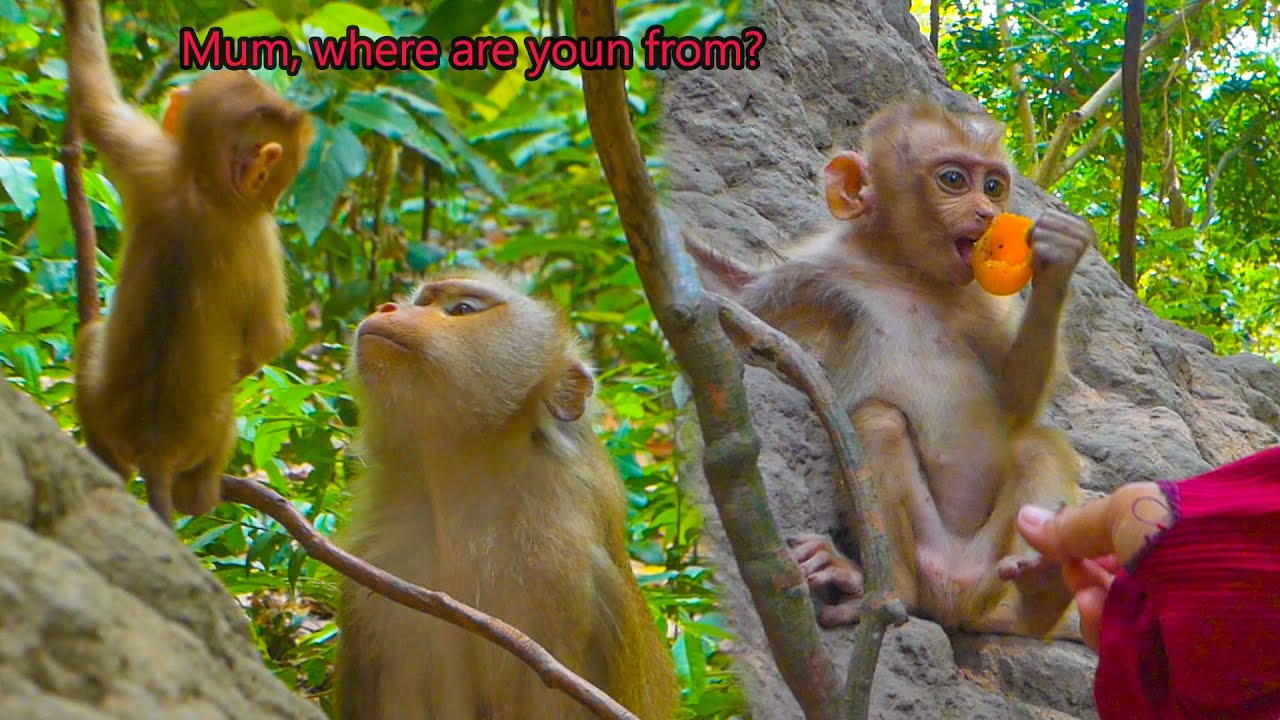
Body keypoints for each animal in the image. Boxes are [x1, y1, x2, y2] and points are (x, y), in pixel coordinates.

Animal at [64, 0, 313, 524]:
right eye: (280, 177)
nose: (274, 199)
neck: (204, 185)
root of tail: (153, 448)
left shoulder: (149, 155)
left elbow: (96, 99)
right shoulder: (262, 236)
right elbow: (268, 339)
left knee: (91, 337)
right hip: (213, 430)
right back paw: (197, 494)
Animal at [696, 97, 1091, 638]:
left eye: (993, 185)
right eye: (953, 180)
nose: (988, 213)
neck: (909, 272)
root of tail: (954, 597)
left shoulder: (983, 300)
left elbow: (1015, 401)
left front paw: (1057, 262)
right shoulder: (820, 269)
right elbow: (740, 307)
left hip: (991, 569)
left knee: (1039, 447)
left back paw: (1038, 597)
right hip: (928, 556)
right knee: (878, 421)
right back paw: (883, 591)